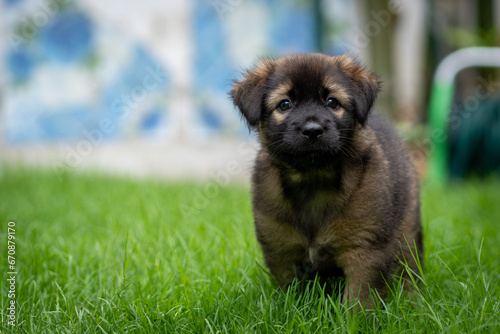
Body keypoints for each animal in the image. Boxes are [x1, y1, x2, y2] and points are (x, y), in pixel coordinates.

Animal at [230, 53, 422, 306]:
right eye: (284, 104)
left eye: (332, 102)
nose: (312, 130)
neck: (313, 180)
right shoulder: (281, 250)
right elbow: (291, 294)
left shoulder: (366, 248)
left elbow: (359, 301)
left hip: (408, 229)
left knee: (410, 268)